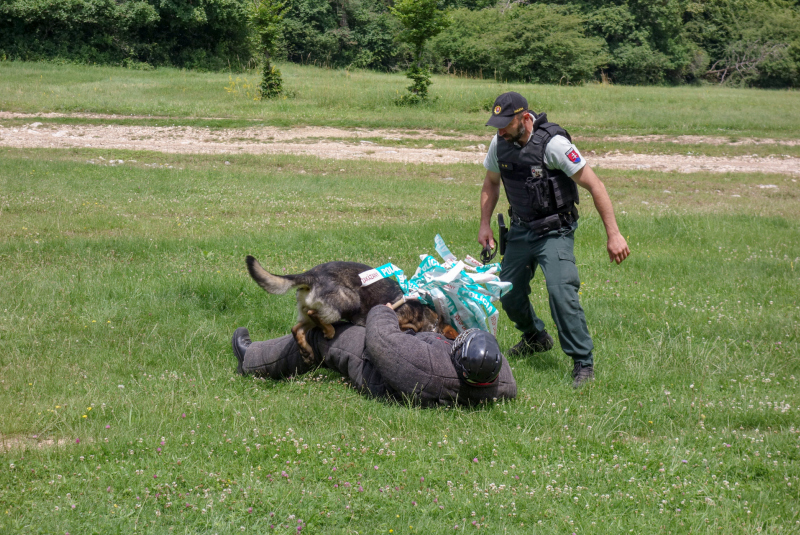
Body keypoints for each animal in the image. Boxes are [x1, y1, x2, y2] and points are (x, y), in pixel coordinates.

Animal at [244, 255, 456, 364]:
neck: (431, 319)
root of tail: (311, 274)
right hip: (350, 301)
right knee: (316, 316)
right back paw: (329, 331)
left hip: (308, 312)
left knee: (297, 329)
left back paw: (306, 351)